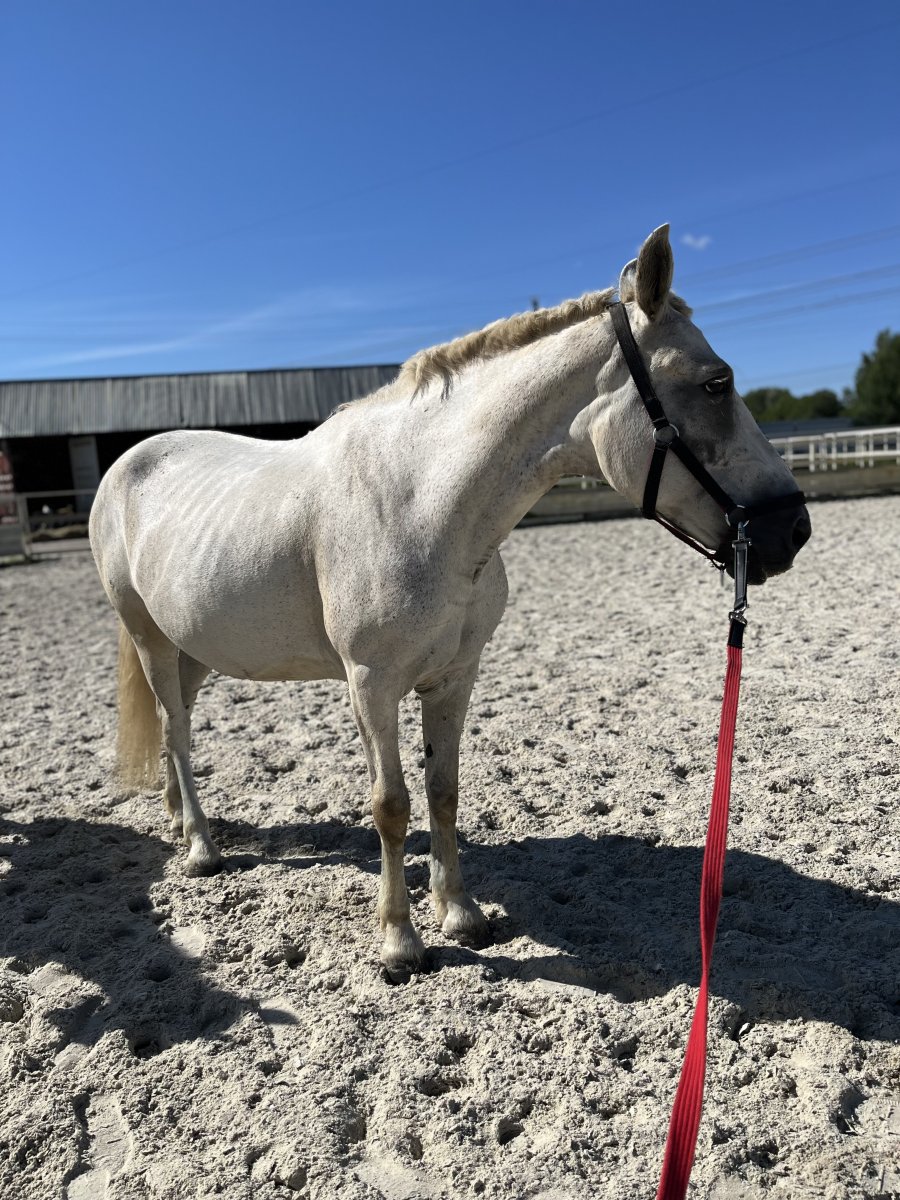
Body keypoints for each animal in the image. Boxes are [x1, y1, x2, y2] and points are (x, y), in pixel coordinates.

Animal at [89, 225, 811, 978]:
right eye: (717, 382)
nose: (793, 529)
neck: (419, 500)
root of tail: (128, 463)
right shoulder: (371, 685)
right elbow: (391, 803)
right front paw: (399, 941)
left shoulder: (454, 677)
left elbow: (443, 789)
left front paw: (460, 914)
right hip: (150, 640)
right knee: (176, 731)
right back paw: (201, 848)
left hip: (195, 650)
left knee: (174, 728)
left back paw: (180, 822)